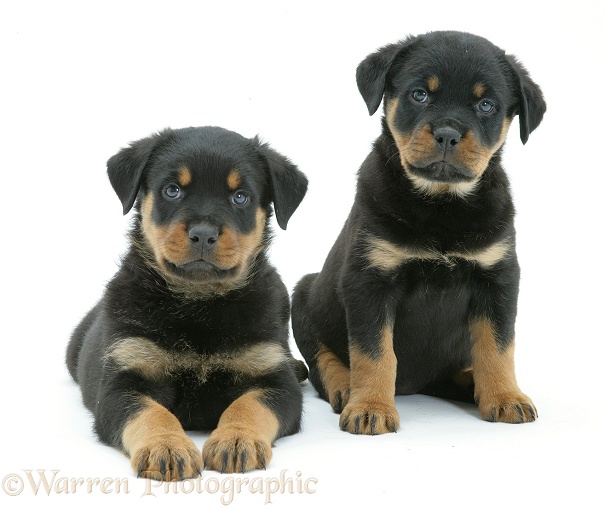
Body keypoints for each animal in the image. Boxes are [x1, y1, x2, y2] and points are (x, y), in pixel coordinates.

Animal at [67, 126, 306, 480]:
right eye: (172, 190)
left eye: (240, 197)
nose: (203, 234)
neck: (199, 304)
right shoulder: (121, 382)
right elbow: (150, 412)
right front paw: (166, 446)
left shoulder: (274, 378)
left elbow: (249, 405)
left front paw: (236, 439)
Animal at [292, 31, 548, 434]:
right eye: (420, 94)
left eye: (486, 105)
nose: (447, 134)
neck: (441, 204)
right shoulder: (370, 280)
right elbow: (373, 352)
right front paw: (371, 407)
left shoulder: (498, 277)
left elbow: (497, 345)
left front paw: (506, 396)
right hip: (303, 298)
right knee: (322, 357)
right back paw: (345, 388)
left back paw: (471, 382)